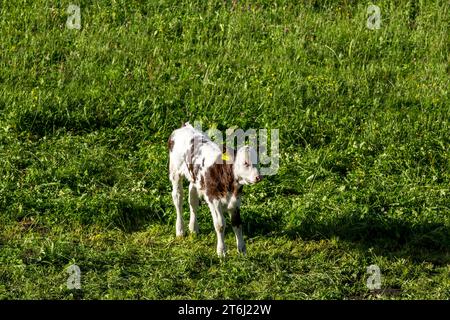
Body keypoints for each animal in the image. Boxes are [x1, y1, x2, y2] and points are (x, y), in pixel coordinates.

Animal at [168, 122, 260, 258]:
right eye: (245, 163)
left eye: (258, 162)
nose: (259, 177)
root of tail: (184, 126)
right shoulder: (214, 199)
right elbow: (220, 225)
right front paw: (221, 251)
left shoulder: (236, 201)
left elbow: (237, 224)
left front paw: (242, 250)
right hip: (175, 171)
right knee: (178, 197)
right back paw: (180, 230)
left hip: (195, 179)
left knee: (193, 199)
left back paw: (193, 228)